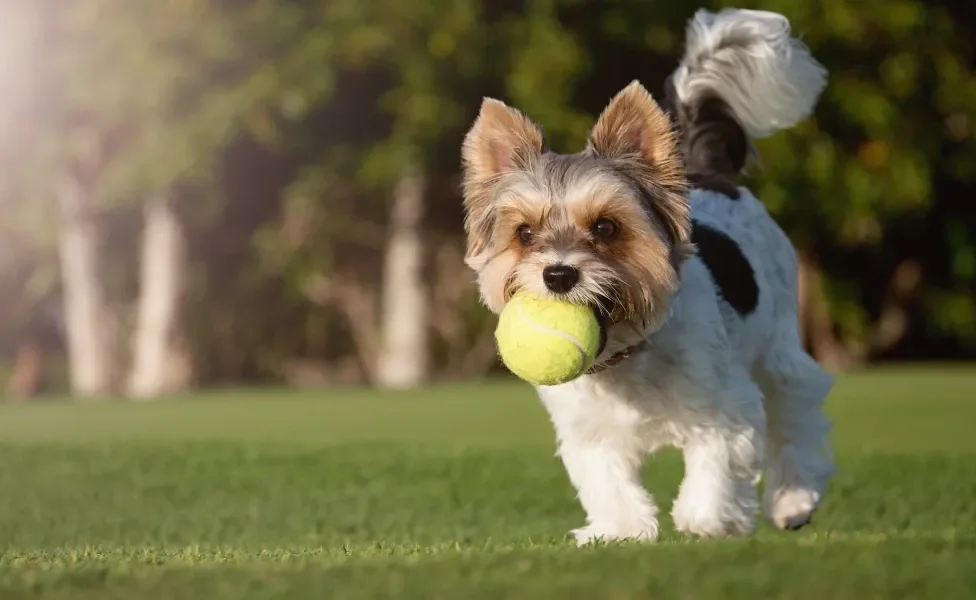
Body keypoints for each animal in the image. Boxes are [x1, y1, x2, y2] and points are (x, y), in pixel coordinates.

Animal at [462, 8, 836, 544]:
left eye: (606, 226)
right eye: (525, 233)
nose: (558, 274)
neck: (626, 351)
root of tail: (706, 171)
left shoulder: (723, 407)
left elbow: (715, 471)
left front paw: (709, 519)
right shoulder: (589, 431)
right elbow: (609, 484)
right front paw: (620, 529)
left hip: (778, 343)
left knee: (798, 408)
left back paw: (793, 500)